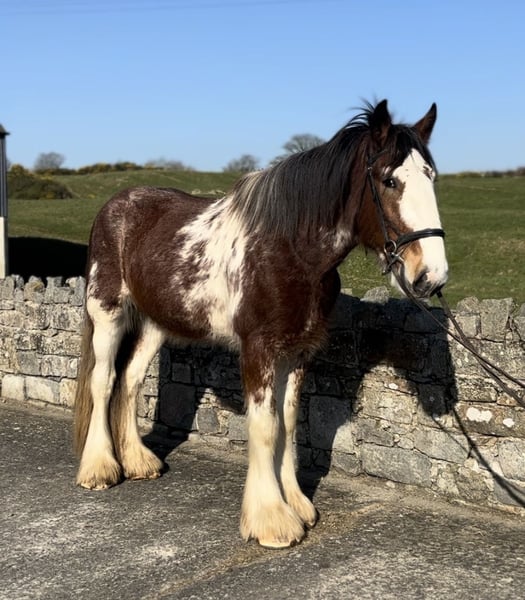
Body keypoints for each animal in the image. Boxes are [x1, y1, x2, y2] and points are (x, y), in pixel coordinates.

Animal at [74, 100, 448, 548]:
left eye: (431, 177)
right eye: (390, 180)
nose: (431, 276)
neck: (289, 251)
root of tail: (115, 205)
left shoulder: (298, 351)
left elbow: (287, 423)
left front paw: (297, 504)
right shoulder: (259, 350)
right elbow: (265, 426)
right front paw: (271, 519)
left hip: (154, 323)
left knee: (130, 380)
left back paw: (139, 462)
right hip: (107, 312)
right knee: (103, 381)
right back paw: (99, 468)